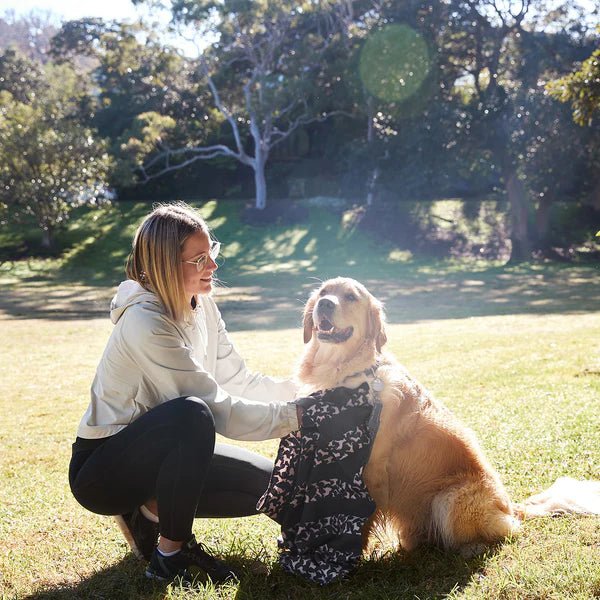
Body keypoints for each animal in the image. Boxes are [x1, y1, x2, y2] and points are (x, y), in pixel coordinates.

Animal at [298, 276, 600, 556]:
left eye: (350, 297)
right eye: (324, 293)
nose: (325, 304)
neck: (345, 372)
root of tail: (512, 507)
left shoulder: (369, 470)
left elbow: (359, 520)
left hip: (451, 498)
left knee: (503, 533)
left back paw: (470, 548)